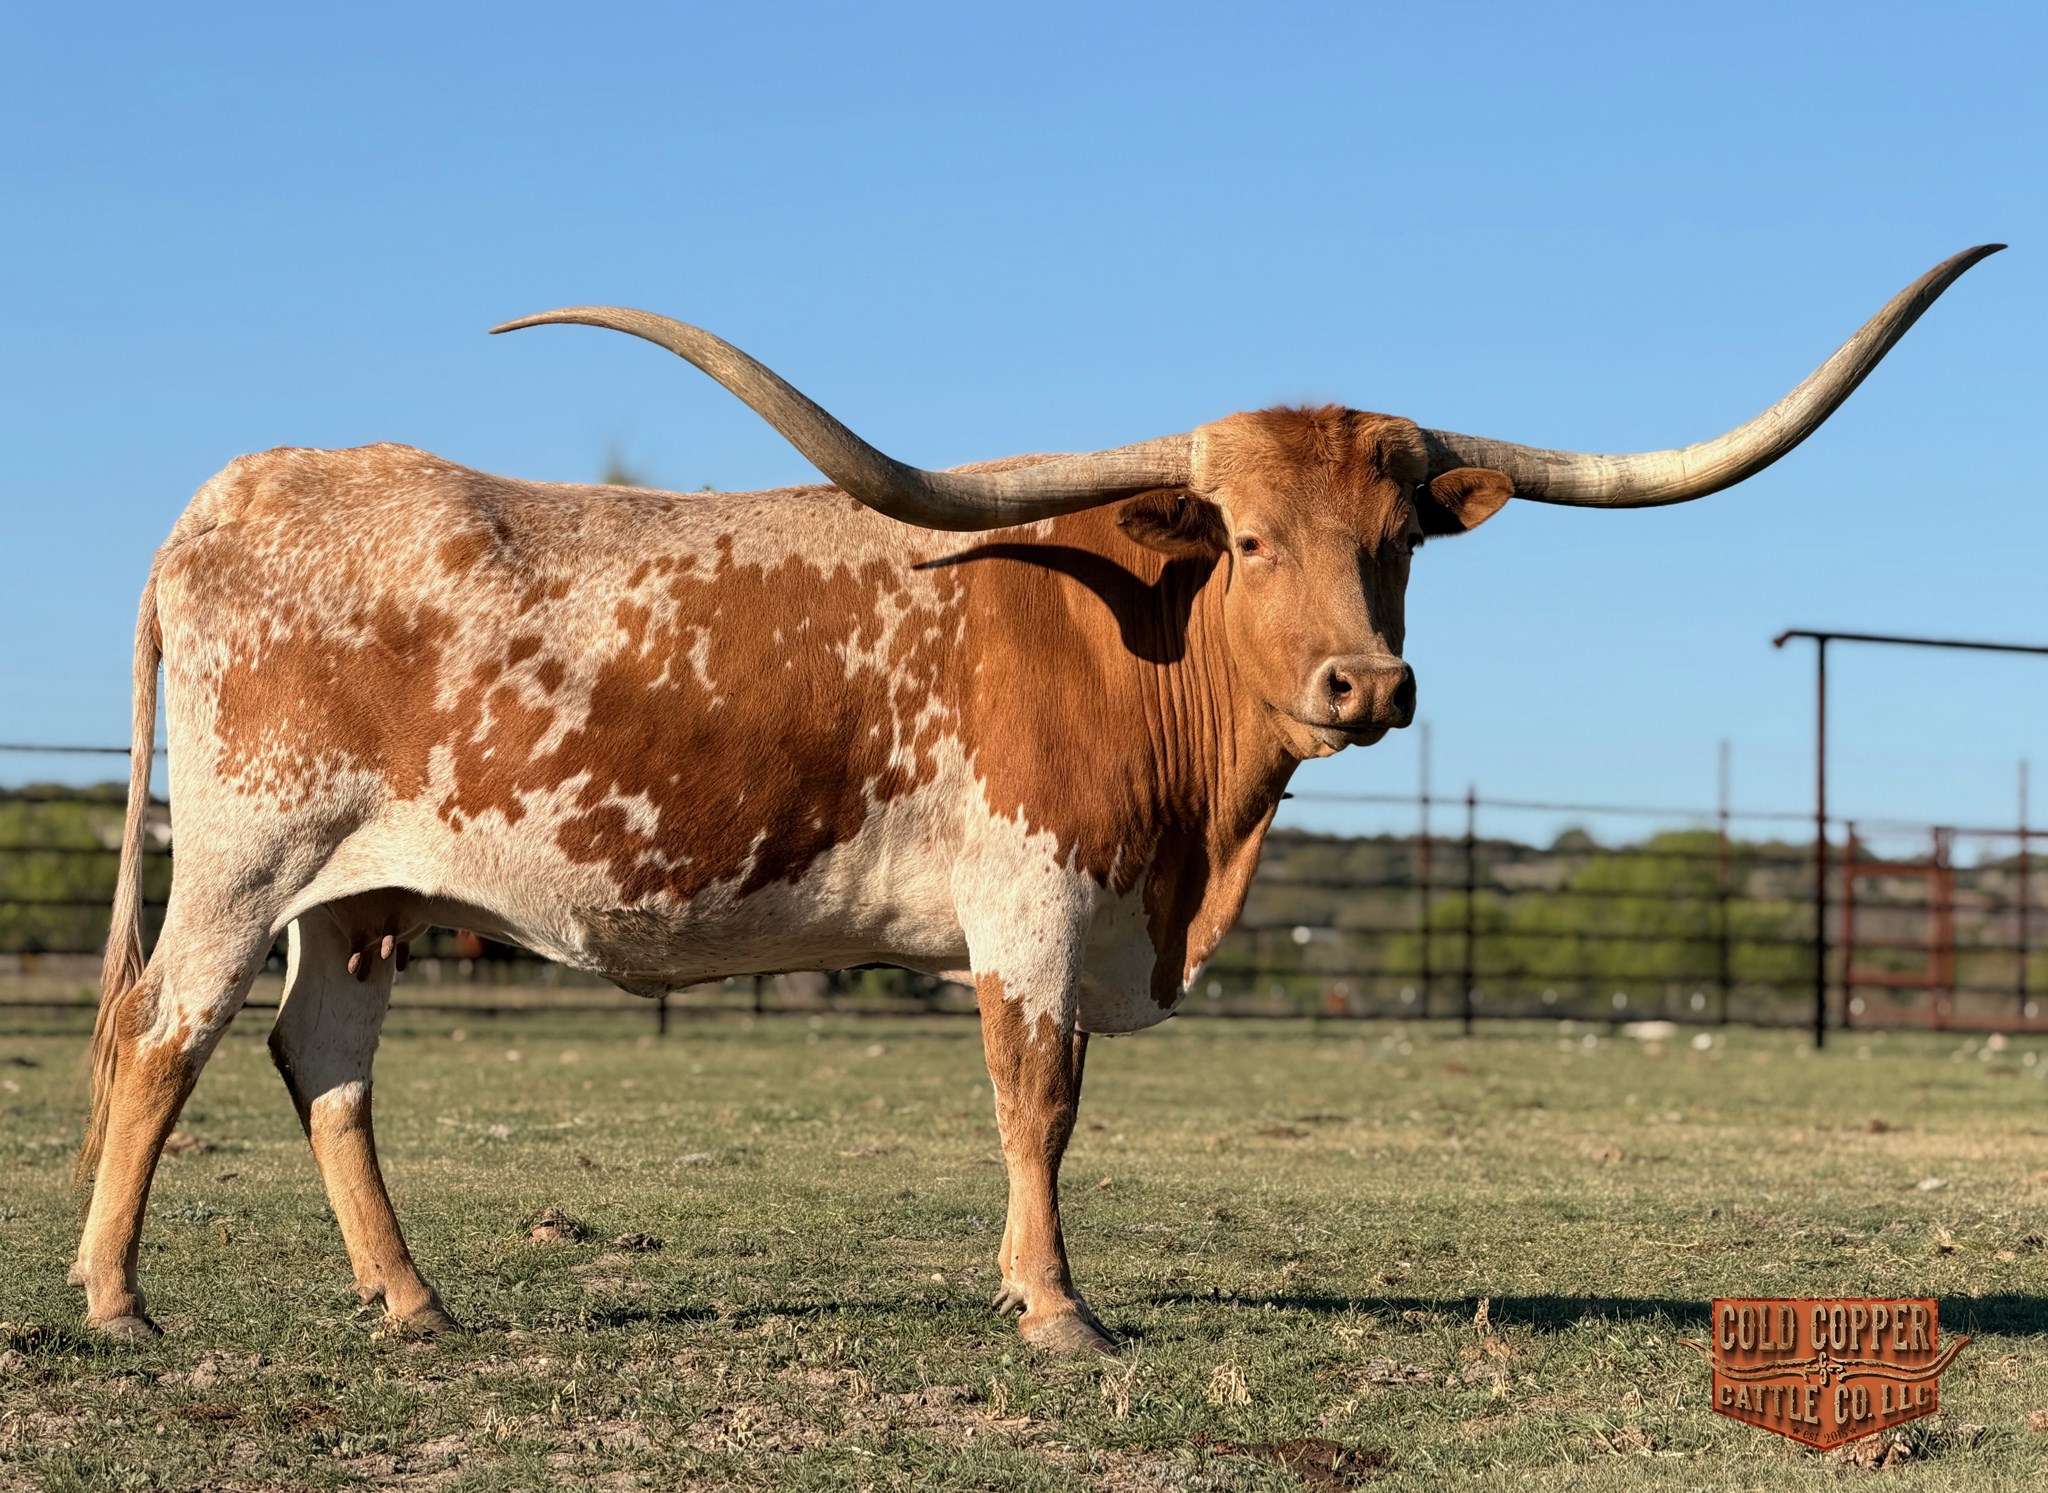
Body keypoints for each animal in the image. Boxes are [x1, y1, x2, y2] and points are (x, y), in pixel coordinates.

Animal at [73, 246, 1998, 1353]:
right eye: (1242, 537)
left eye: (1395, 541)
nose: (1365, 688)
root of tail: (234, 493)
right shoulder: (1032, 905)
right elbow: (1039, 1103)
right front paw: (1057, 1310)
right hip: (244, 857)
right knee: (161, 1035)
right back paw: (116, 1297)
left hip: (361, 894)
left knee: (320, 1060)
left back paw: (412, 1302)